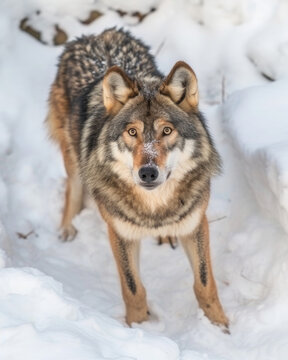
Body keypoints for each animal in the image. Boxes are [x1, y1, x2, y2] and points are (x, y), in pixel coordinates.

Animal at [46, 28, 228, 330]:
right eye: (132, 132)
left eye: (167, 130)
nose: (148, 172)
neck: (154, 209)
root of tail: (100, 35)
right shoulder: (120, 233)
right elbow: (133, 289)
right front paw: (139, 328)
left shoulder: (195, 224)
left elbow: (204, 284)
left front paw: (220, 326)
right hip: (71, 156)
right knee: (73, 189)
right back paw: (67, 228)